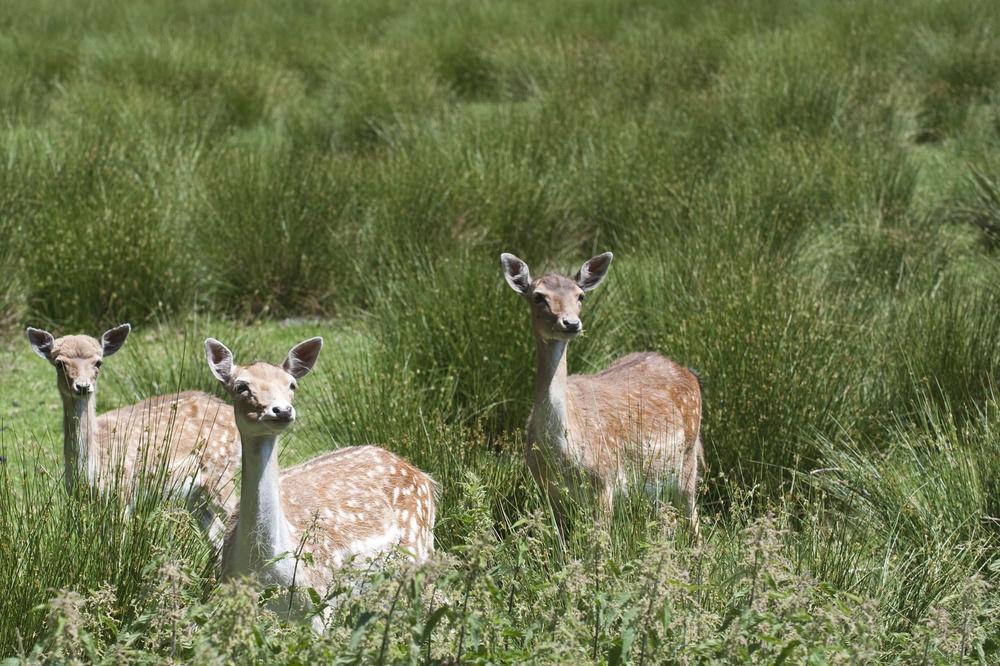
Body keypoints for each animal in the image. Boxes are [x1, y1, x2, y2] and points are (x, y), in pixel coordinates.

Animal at [24, 324, 240, 548]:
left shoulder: (123, 493)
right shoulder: (81, 500)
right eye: (59, 363)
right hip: (194, 493)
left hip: (221, 470)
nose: (83, 386)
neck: (91, 467)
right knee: (218, 536)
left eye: (98, 362)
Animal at [203, 338, 434, 628]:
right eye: (241, 386)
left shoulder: (320, 598)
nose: (282, 410)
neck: (264, 564)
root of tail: (426, 478)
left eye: (291, 384)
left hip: (416, 554)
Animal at [500, 252, 704, 532]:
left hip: (688, 458)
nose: (571, 323)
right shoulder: (548, 489)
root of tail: (689, 372)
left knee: (693, 517)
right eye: (538, 296)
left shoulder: (605, 478)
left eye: (580, 296)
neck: (561, 452)